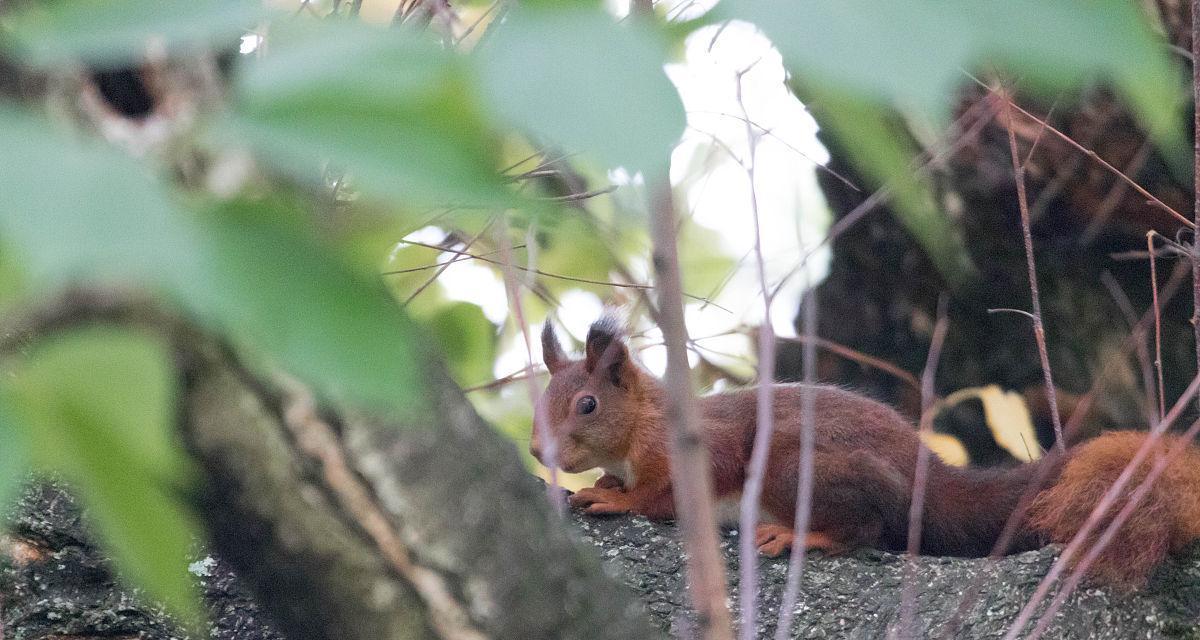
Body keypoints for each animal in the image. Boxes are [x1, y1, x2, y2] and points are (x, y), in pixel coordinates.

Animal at [532, 312, 1200, 583]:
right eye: (541, 398)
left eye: (587, 405)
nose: (541, 454)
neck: (642, 425)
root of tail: (926, 473)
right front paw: (605, 483)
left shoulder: (699, 450)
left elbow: (662, 494)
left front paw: (617, 499)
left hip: (794, 465)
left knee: (869, 526)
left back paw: (804, 536)